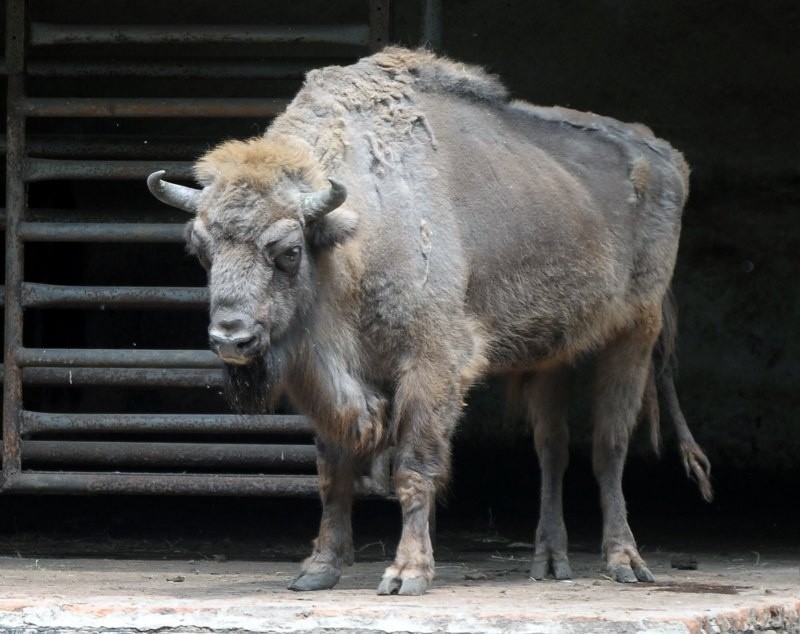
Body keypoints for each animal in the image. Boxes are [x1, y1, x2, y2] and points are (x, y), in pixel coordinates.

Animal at [147, 48, 708, 592]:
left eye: (288, 251)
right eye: (200, 249)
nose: (231, 339)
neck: (354, 234)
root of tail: (666, 156)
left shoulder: (431, 365)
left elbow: (413, 467)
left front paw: (407, 573)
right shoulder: (328, 384)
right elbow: (333, 473)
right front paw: (318, 570)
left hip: (634, 334)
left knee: (609, 447)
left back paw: (625, 562)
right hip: (553, 353)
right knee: (552, 449)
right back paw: (549, 560)